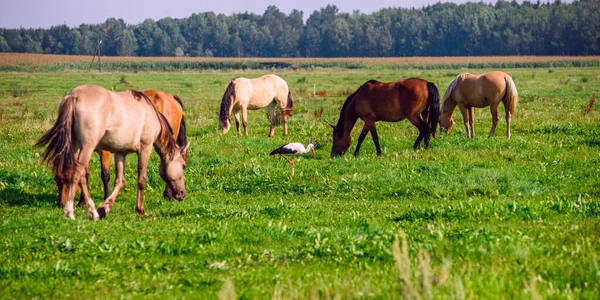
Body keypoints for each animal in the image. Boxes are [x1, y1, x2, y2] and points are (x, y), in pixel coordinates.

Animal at [34, 85, 188, 219]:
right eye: (183, 166)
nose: (182, 194)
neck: (150, 111)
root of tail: (74, 96)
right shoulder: (145, 148)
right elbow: (141, 179)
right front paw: (140, 210)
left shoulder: (120, 153)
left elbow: (119, 181)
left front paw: (104, 207)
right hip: (86, 147)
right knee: (78, 172)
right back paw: (70, 212)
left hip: (77, 147)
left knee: (81, 174)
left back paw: (92, 210)